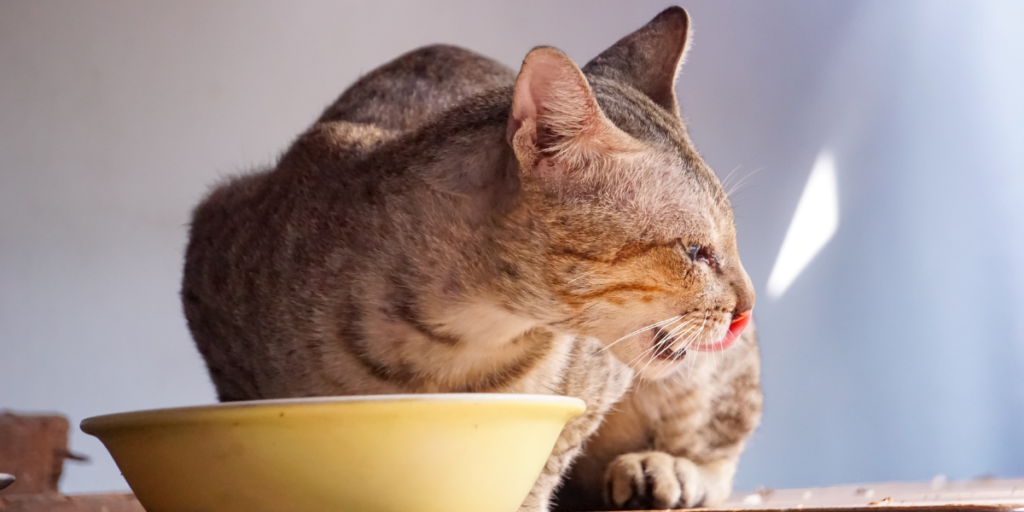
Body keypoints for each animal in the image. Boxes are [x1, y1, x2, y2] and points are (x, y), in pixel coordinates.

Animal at [182, 8, 761, 512]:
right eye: (696, 251)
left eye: (731, 244)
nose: (748, 304)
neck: (456, 346)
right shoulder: (213, 255)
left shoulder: (590, 398)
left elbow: (545, 463)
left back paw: (665, 467)